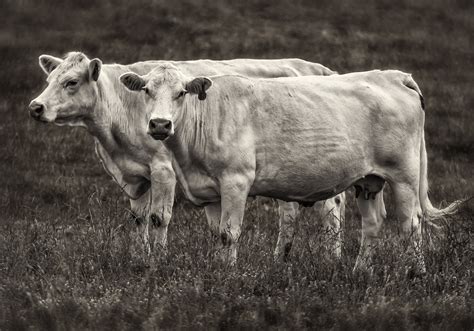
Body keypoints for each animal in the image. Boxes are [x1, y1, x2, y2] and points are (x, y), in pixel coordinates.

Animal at [29, 51, 346, 262]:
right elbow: (138, 219)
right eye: (49, 79)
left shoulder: (163, 170)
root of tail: (314, 66)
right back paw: (280, 257)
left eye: (71, 82)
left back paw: (332, 258)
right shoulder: (134, 175)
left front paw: (158, 260)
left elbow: (159, 217)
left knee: (331, 211)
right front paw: (140, 256)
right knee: (289, 212)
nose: (35, 107)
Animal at [120, 64, 462, 272]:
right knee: (373, 222)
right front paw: (217, 271)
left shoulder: (236, 181)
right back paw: (360, 271)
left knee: (410, 224)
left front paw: (228, 276)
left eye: (181, 93)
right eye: (147, 90)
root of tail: (392, 75)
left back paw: (416, 273)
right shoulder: (210, 190)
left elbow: (230, 233)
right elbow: (218, 233)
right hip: (369, 180)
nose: (160, 124)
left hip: (404, 176)